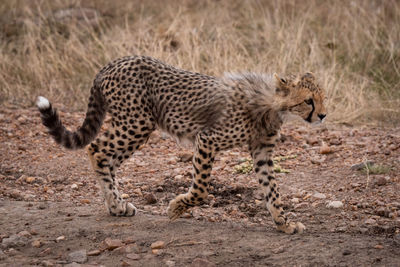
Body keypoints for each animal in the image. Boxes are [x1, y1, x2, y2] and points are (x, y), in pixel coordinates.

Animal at [36, 56, 326, 234]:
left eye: (324, 97)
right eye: (308, 101)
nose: (323, 115)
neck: (270, 103)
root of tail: (113, 62)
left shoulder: (262, 152)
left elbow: (272, 191)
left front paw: (284, 223)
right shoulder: (208, 139)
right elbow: (201, 188)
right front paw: (176, 207)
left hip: (136, 126)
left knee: (107, 158)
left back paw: (116, 206)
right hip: (137, 123)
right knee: (96, 150)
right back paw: (116, 205)